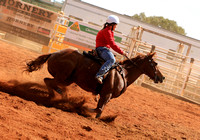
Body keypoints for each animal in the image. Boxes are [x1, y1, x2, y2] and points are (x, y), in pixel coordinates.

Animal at [25, 48, 164, 117]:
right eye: (155, 63)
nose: (162, 78)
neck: (124, 73)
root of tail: (54, 53)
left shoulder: (107, 96)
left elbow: (100, 110)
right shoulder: (106, 94)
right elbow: (98, 109)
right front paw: (82, 107)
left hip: (68, 80)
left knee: (48, 82)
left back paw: (56, 96)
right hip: (63, 77)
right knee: (50, 82)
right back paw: (63, 97)